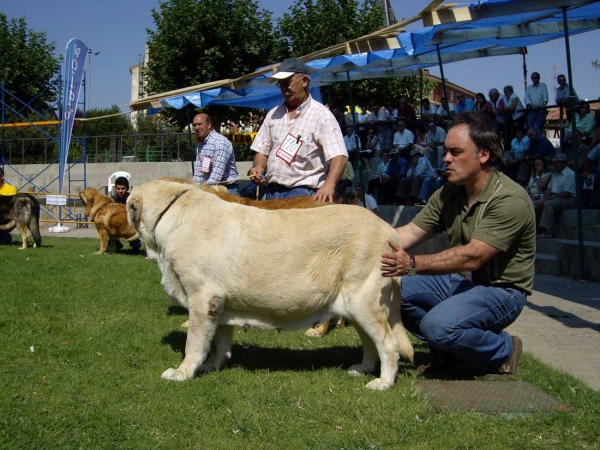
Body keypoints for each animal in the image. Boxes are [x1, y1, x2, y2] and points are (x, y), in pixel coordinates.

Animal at [127, 179, 412, 390]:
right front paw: (213, 366)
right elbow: (219, 342)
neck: (170, 212)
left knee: (388, 344)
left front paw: (184, 372)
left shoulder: (202, 298)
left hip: (362, 302)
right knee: (370, 341)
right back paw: (363, 369)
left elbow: (194, 343)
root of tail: (390, 231)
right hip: (354, 308)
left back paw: (383, 383)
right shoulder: (220, 304)